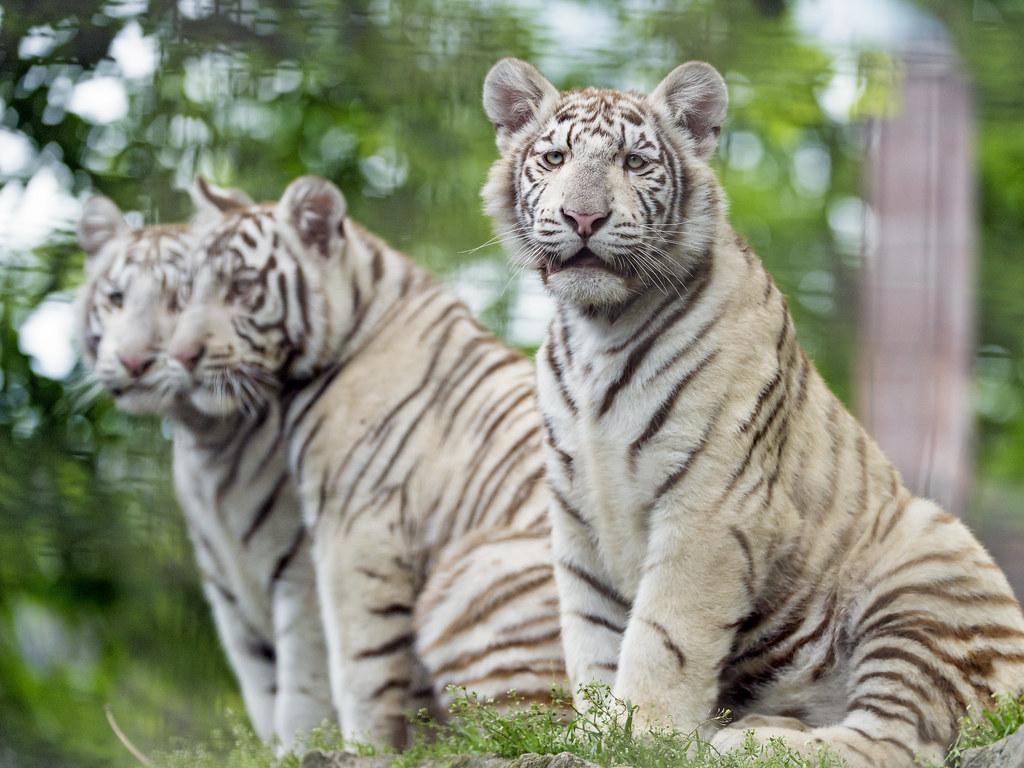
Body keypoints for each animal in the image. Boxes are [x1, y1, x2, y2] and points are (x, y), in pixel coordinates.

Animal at [76, 188, 335, 750]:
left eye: (181, 300)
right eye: (116, 298)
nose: (133, 361)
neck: (209, 439)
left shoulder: (302, 574)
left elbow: (304, 688)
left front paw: (304, 749)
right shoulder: (227, 592)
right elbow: (263, 689)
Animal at [166, 175, 566, 748]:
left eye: (241, 288)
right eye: (185, 294)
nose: (180, 357)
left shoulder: (356, 529)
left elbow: (358, 665)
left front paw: (364, 746)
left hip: (471, 577)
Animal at [480, 56, 1024, 767]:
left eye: (633, 162)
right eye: (553, 158)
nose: (583, 217)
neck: (598, 325)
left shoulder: (709, 507)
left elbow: (662, 636)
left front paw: (643, 733)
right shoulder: (578, 514)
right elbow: (593, 633)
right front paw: (597, 731)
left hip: (923, 575)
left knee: (896, 740)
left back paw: (746, 741)